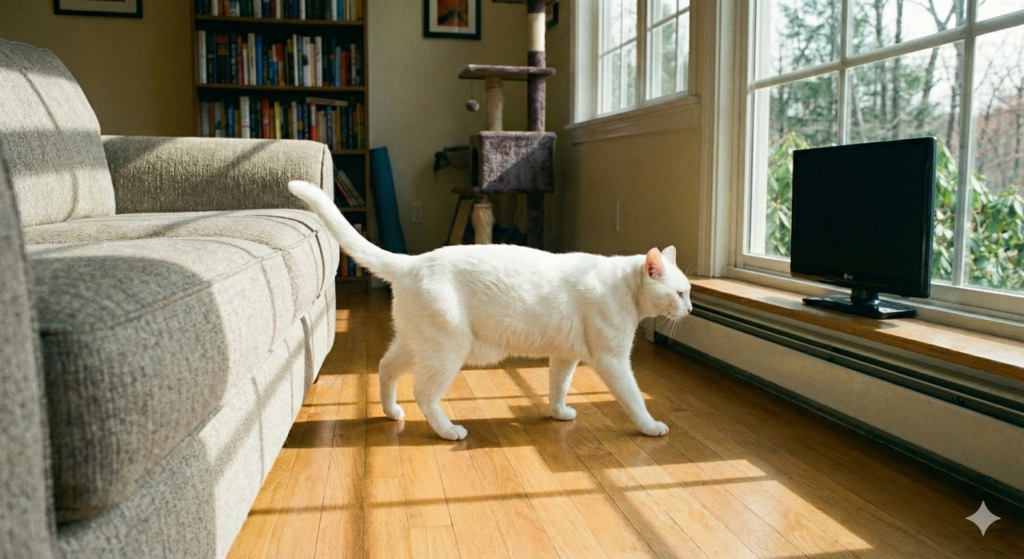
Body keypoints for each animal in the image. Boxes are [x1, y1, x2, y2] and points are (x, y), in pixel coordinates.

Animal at [289, 180, 693, 441]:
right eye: (680, 292)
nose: (689, 309)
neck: (623, 287)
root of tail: (412, 262)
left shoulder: (564, 356)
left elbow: (558, 387)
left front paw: (558, 413)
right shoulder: (612, 360)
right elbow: (634, 398)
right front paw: (650, 426)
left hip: (415, 344)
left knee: (386, 369)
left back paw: (392, 413)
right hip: (447, 350)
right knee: (424, 393)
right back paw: (448, 431)